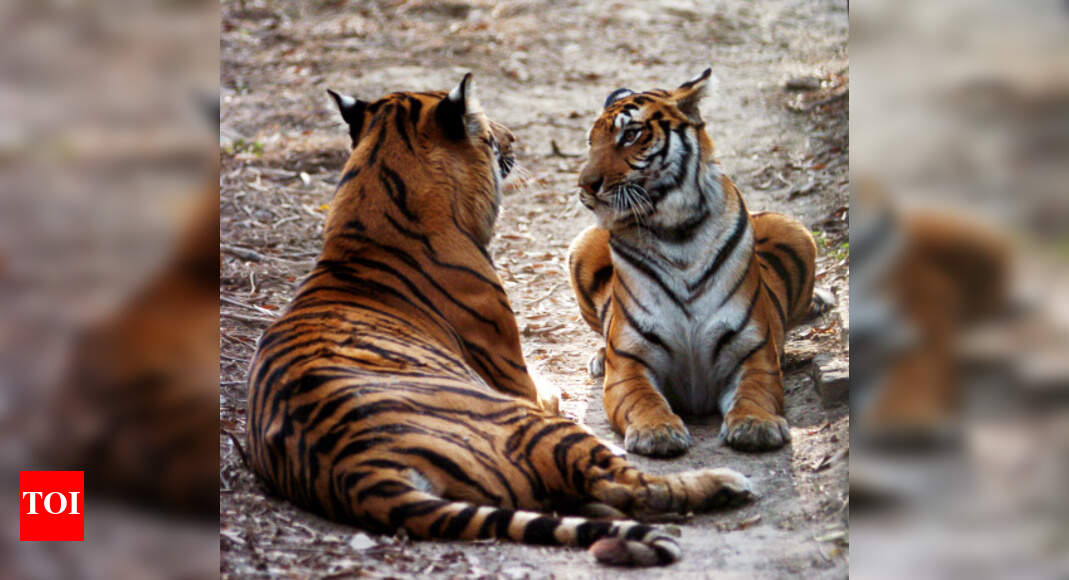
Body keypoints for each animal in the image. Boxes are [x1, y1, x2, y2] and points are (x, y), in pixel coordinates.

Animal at [245, 74, 754, 566]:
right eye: (488, 135)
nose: (512, 140)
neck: (371, 215)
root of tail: (361, 475)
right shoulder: (514, 376)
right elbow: (546, 388)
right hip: (538, 426)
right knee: (633, 485)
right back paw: (727, 483)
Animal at [568, 69, 826, 457]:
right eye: (590, 142)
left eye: (630, 135)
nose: (585, 185)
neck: (678, 233)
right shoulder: (630, 362)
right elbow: (643, 400)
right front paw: (657, 431)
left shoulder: (753, 353)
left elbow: (755, 393)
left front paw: (756, 425)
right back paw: (599, 358)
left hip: (796, 231)